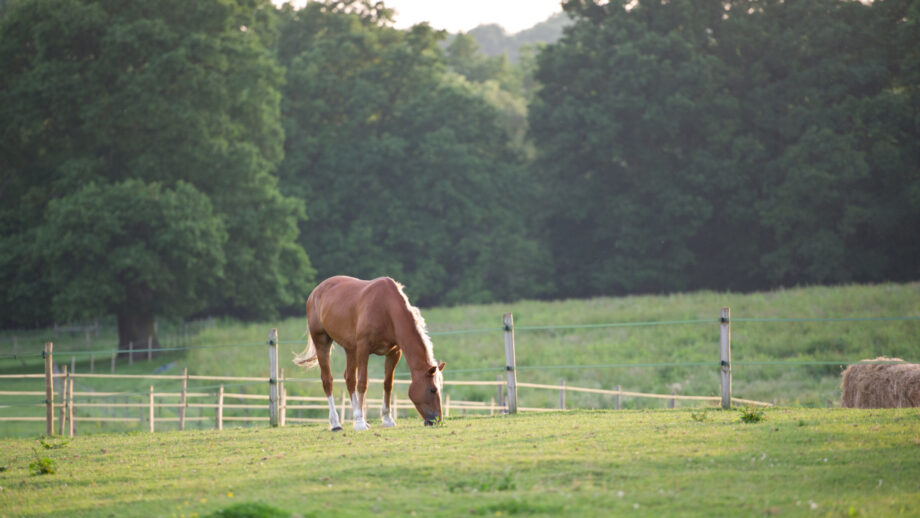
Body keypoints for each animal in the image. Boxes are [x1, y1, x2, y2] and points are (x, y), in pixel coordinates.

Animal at [293, 276, 445, 431]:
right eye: (432, 390)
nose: (436, 420)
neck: (386, 309)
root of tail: (315, 292)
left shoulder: (394, 353)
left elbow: (387, 384)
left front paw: (387, 419)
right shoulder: (363, 349)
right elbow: (362, 383)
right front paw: (360, 422)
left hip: (350, 349)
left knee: (349, 379)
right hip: (322, 342)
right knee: (327, 380)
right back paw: (336, 423)